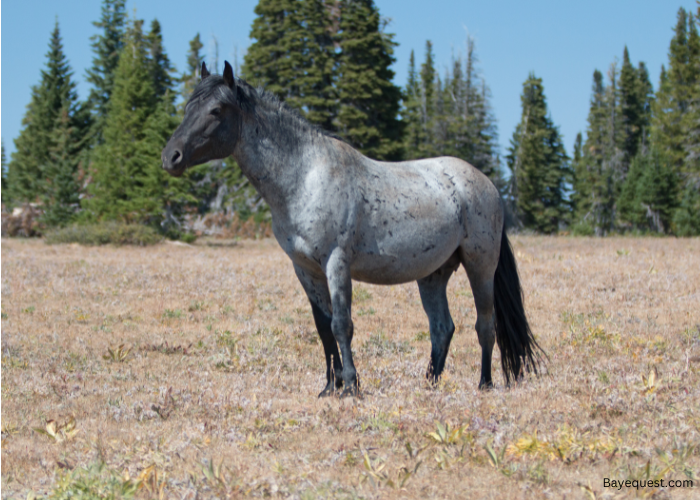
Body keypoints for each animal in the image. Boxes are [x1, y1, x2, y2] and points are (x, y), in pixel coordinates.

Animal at [161, 62, 544, 398]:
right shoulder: (305, 270)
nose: (170, 157)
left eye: (216, 109)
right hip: (433, 274)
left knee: (485, 324)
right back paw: (430, 385)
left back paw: (485, 384)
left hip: (480, 265)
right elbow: (323, 328)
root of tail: (487, 185)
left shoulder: (336, 263)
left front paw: (351, 387)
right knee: (442, 328)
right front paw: (330, 387)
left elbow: (342, 325)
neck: (304, 177)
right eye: (188, 106)